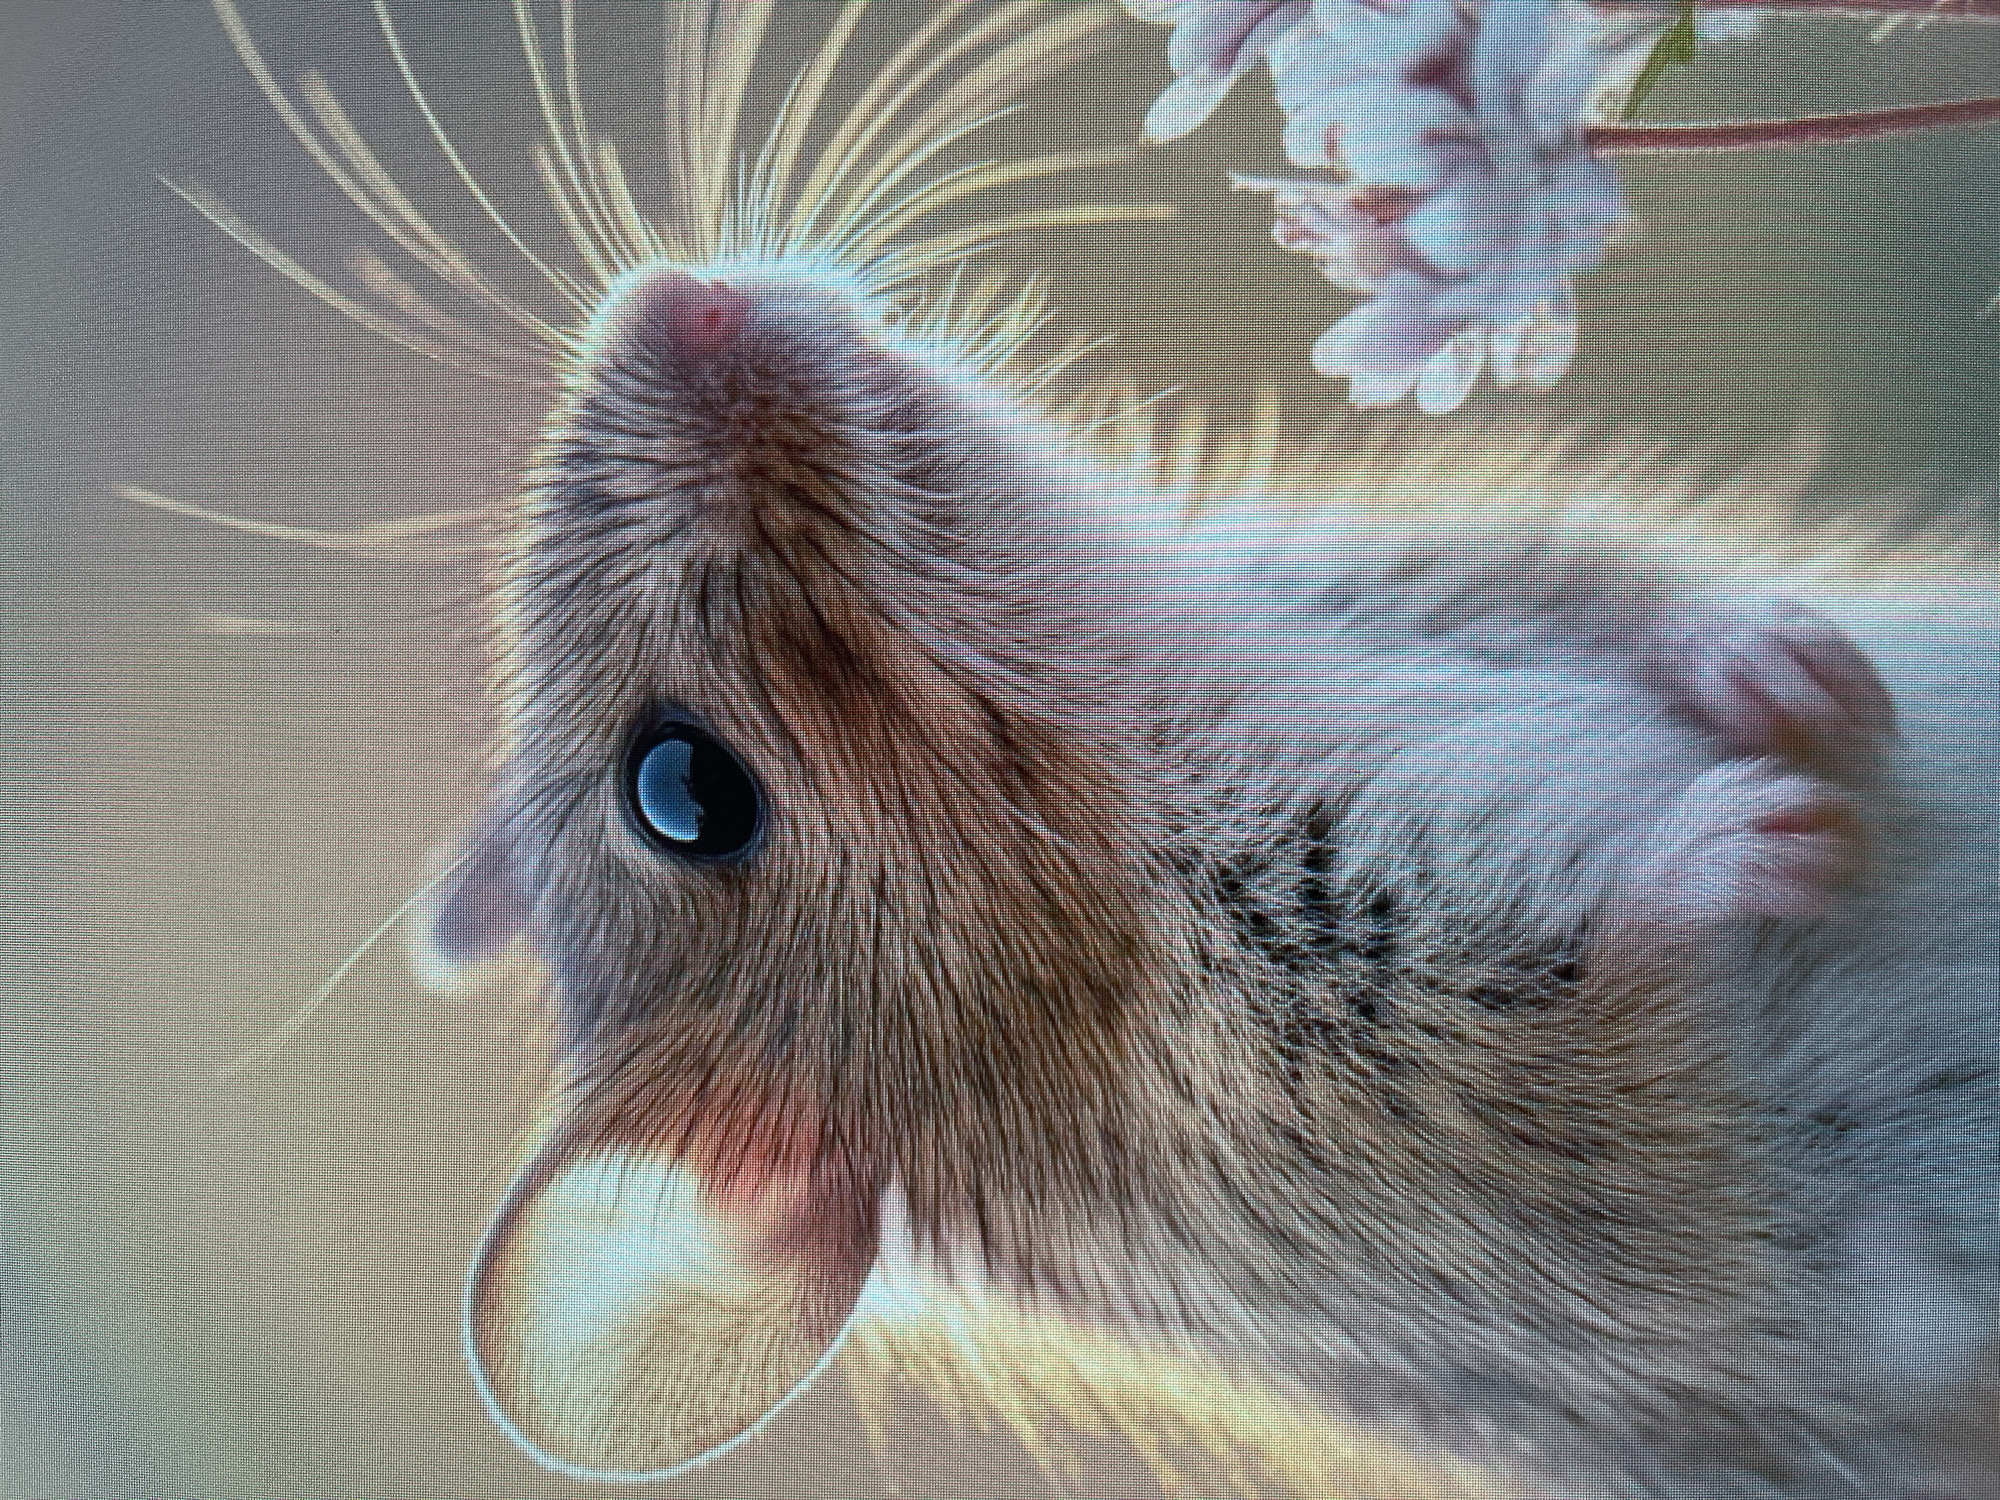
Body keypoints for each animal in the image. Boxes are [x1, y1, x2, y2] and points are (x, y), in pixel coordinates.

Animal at [191, 1, 1996, 1495]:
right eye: (683, 791)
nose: (673, 301)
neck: (1154, 706)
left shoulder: (1442, 569)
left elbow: (1630, 592)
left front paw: (1785, 674)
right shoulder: (1438, 1161)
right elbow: (1629, 1028)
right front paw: (1752, 835)